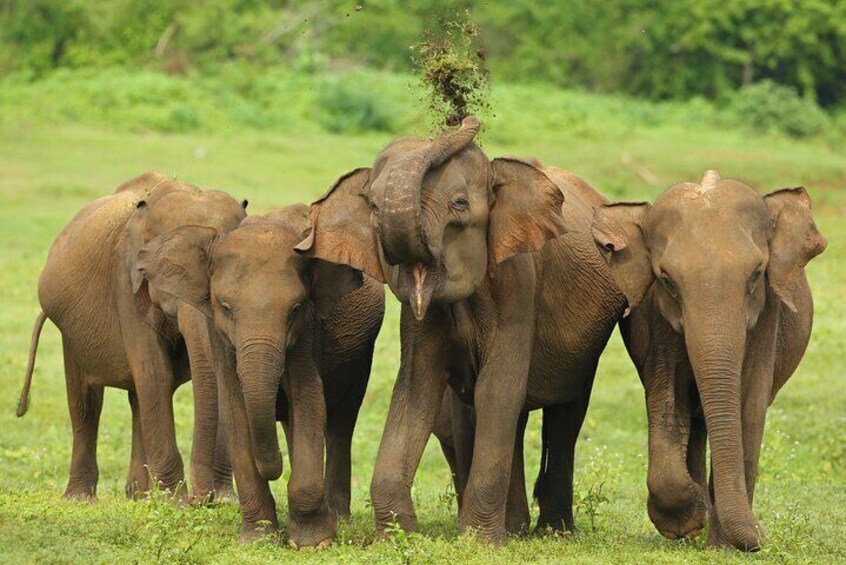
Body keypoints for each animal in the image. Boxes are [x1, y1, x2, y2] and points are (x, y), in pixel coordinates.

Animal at [16, 174, 247, 500]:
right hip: (70, 332)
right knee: (86, 402)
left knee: (138, 399)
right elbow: (154, 372)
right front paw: (177, 502)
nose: (204, 499)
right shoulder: (125, 282)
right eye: (166, 272)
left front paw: (224, 501)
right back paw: (81, 500)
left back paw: (139, 496)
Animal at [134, 203, 386, 548]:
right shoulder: (220, 337)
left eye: (295, 308)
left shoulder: (308, 331)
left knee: (340, 424)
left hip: (361, 355)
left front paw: (312, 543)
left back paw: (338, 520)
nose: (274, 469)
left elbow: (309, 399)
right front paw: (258, 539)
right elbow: (236, 410)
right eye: (225, 308)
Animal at [294, 115, 632, 540]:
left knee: (563, 419)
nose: (462, 118)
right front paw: (399, 536)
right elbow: (416, 389)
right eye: (372, 205)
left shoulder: (518, 286)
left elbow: (497, 389)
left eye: (459, 205)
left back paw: (552, 531)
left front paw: (480, 541)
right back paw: (516, 528)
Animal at [596, 170, 828, 548]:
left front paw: (724, 547)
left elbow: (749, 408)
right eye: (667, 280)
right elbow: (666, 398)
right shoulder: (658, 320)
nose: (763, 535)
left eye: (756, 274)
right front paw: (688, 521)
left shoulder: (767, 318)